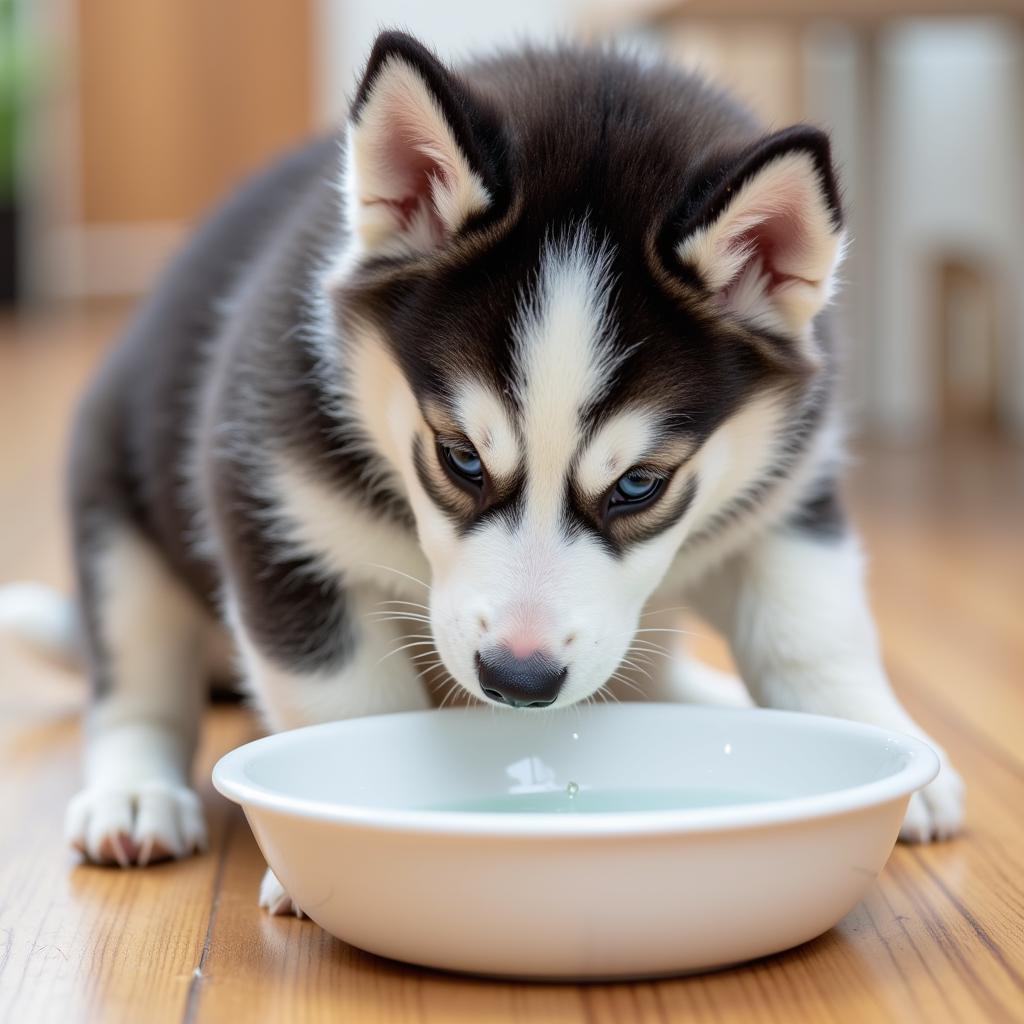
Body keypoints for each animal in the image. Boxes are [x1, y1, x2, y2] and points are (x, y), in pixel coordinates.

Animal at [36, 32, 962, 909]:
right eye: (459, 457)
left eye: (640, 485)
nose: (519, 681)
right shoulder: (269, 508)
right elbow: (348, 700)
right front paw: (339, 820)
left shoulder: (788, 499)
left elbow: (816, 636)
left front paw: (885, 747)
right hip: (115, 525)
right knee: (135, 686)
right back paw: (132, 795)